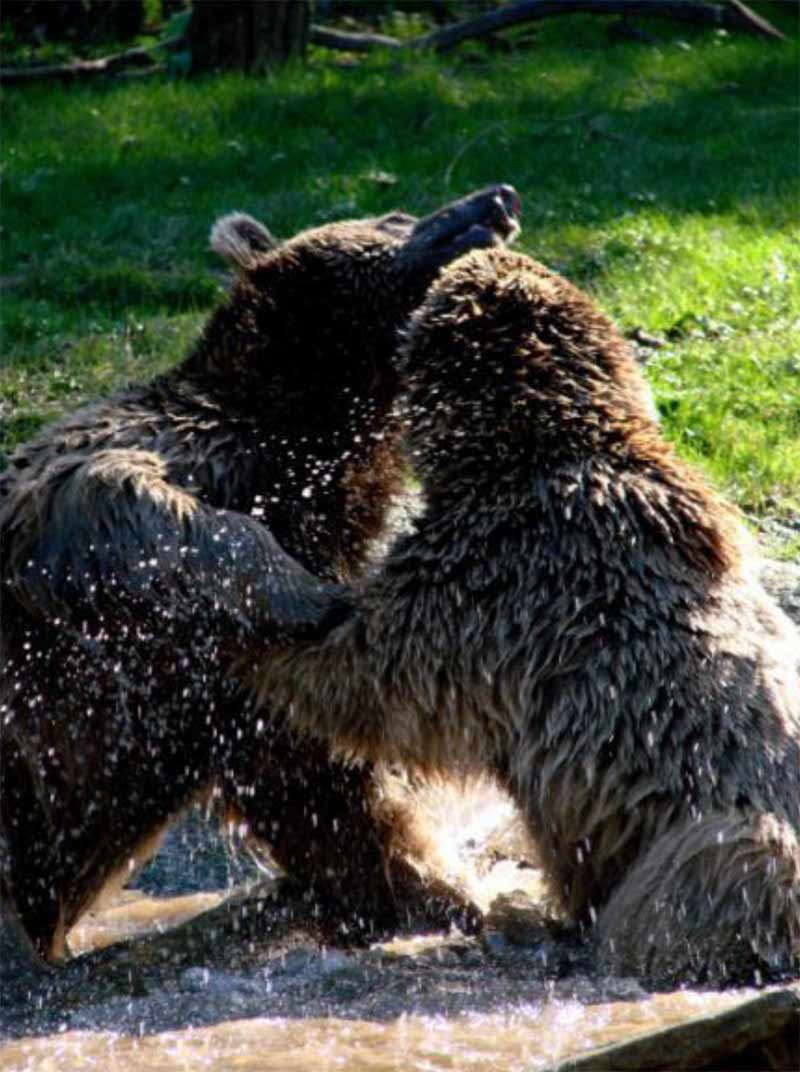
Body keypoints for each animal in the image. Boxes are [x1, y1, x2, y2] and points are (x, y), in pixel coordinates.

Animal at [0, 188, 521, 977]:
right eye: (396, 217)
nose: (497, 201)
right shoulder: (133, 468)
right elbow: (116, 494)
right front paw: (309, 593)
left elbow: (317, 776)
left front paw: (424, 887)